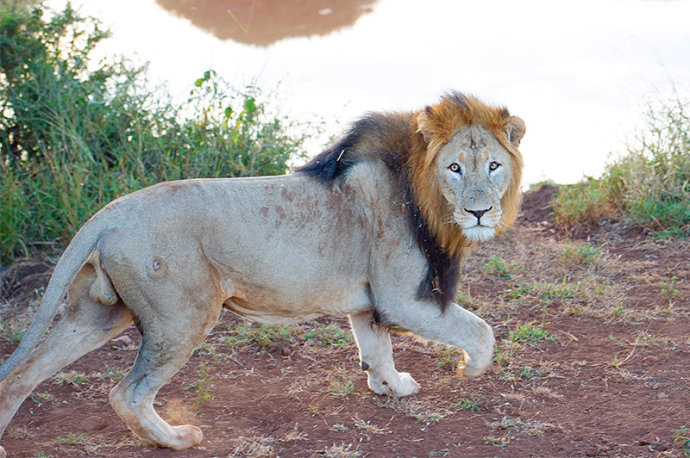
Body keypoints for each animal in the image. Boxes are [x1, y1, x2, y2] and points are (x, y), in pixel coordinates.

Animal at [0, 91, 520, 452]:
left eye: (494, 166)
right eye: (455, 168)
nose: (479, 212)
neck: (422, 189)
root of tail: (107, 215)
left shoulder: (371, 298)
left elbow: (376, 348)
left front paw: (391, 386)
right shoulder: (400, 297)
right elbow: (480, 330)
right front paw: (469, 369)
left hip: (98, 314)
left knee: (23, 374)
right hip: (181, 317)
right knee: (125, 393)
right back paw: (178, 439)